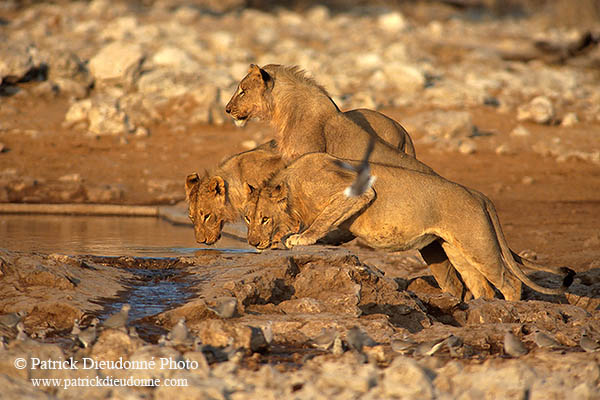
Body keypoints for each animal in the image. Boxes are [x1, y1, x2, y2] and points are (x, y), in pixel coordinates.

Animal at [241, 152, 576, 300]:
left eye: (264, 218)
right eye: (246, 217)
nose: (253, 242)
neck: (293, 185)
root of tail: (478, 193)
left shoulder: (357, 192)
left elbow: (323, 220)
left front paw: (300, 238)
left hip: (478, 244)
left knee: (509, 282)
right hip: (456, 249)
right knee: (481, 285)